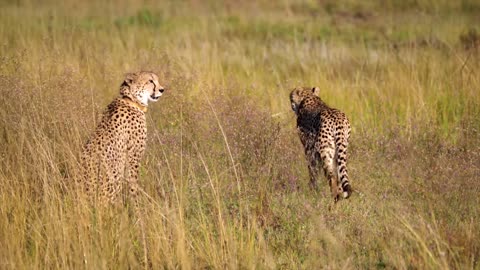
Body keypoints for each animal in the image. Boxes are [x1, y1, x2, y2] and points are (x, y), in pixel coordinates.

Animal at [80, 70, 165, 206]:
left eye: (156, 80)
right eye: (150, 81)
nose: (162, 89)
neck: (131, 100)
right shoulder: (133, 156)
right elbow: (133, 184)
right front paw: (137, 205)